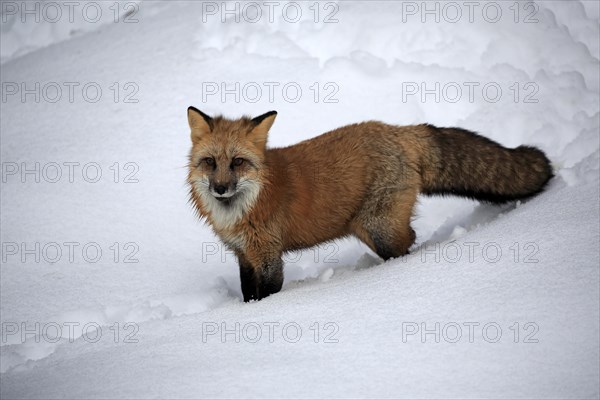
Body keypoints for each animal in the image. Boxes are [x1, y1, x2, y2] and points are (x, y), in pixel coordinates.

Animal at [186, 108, 552, 302]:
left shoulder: (268, 255)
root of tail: (399, 130)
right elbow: (248, 293)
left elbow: (268, 294)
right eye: (210, 162)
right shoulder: (244, 255)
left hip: (379, 230)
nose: (220, 188)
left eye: (237, 162)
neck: (241, 210)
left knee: (409, 243)